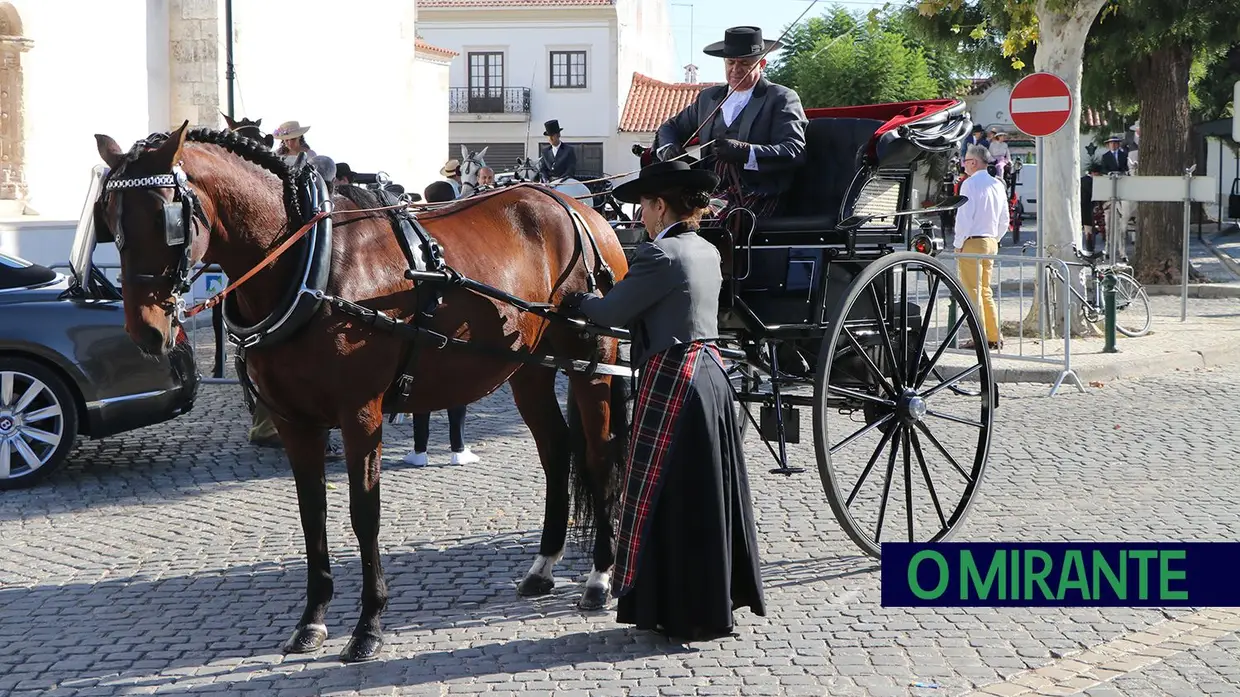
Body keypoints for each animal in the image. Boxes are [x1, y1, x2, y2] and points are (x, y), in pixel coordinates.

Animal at [90, 122, 629, 659]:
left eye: (167, 217)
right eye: (109, 218)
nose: (145, 332)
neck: (312, 264)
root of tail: (576, 207)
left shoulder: (360, 414)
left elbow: (363, 513)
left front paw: (368, 624)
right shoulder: (293, 420)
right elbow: (312, 514)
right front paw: (312, 619)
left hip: (593, 363)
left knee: (599, 456)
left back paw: (600, 576)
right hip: (528, 371)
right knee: (556, 452)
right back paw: (543, 565)